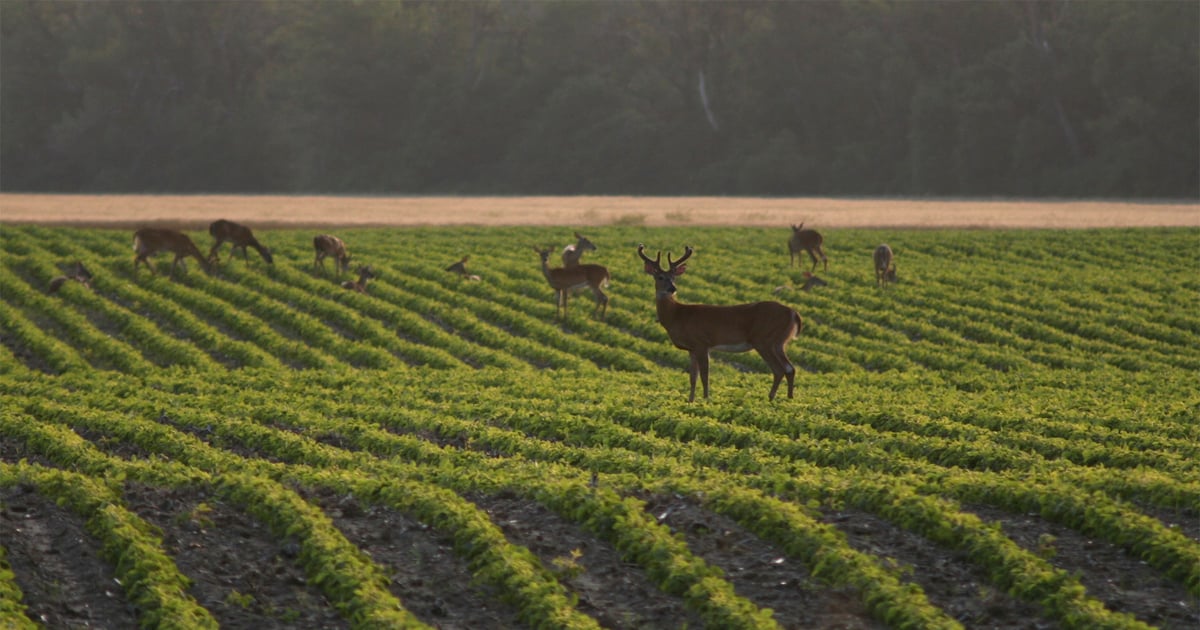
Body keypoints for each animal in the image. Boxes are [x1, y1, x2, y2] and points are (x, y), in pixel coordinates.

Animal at [639, 244, 803, 402]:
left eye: (674, 277)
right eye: (660, 277)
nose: (672, 288)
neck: (677, 315)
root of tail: (793, 313)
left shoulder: (701, 343)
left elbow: (704, 376)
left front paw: (705, 400)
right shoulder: (692, 349)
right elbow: (693, 377)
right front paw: (690, 401)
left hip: (764, 339)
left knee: (779, 369)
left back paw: (771, 398)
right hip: (779, 342)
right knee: (790, 368)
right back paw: (789, 398)